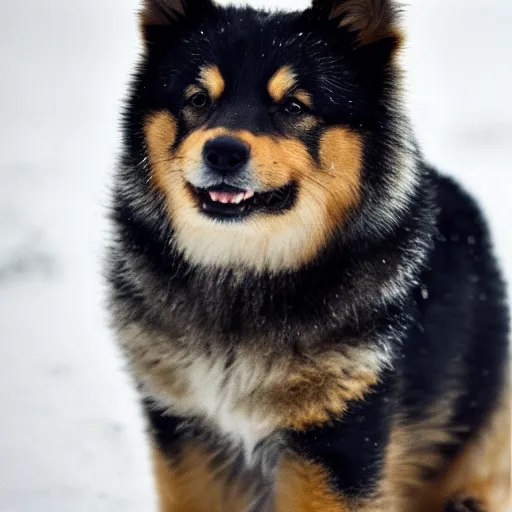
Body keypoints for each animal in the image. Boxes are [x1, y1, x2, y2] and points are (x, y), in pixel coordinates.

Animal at [106, 1, 510, 508]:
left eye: (294, 106)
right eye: (198, 99)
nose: (222, 151)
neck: (244, 278)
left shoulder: (339, 436)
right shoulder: (187, 429)